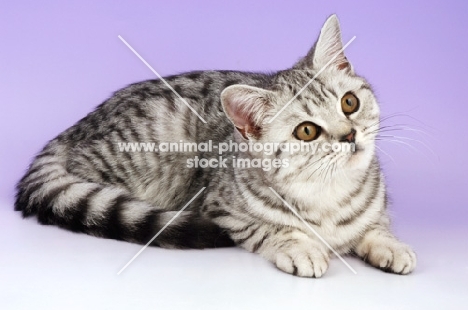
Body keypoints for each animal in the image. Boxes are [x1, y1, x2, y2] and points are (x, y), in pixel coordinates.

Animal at [15, 14, 416, 278]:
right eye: (307, 131)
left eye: (349, 103)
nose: (349, 135)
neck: (328, 194)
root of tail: (78, 126)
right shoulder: (223, 210)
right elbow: (272, 229)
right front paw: (301, 247)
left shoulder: (377, 208)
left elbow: (376, 226)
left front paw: (390, 245)